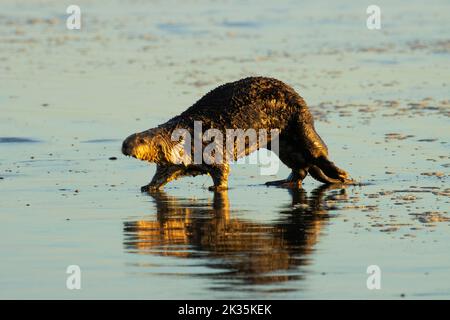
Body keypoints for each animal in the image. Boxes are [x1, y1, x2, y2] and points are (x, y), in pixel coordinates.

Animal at [122, 76, 352, 191]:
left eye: (141, 140)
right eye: (128, 138)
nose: (125, 145)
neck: (185, 138)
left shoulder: (210, 149)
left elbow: (221, 171)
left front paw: (217, 188)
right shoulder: (173, 162)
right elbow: (164, 173)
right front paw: (148, 186)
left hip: (300, 124)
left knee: (318, 154)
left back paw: (343, 175)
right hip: (284, 146)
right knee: (301, 169)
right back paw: (281, 181)